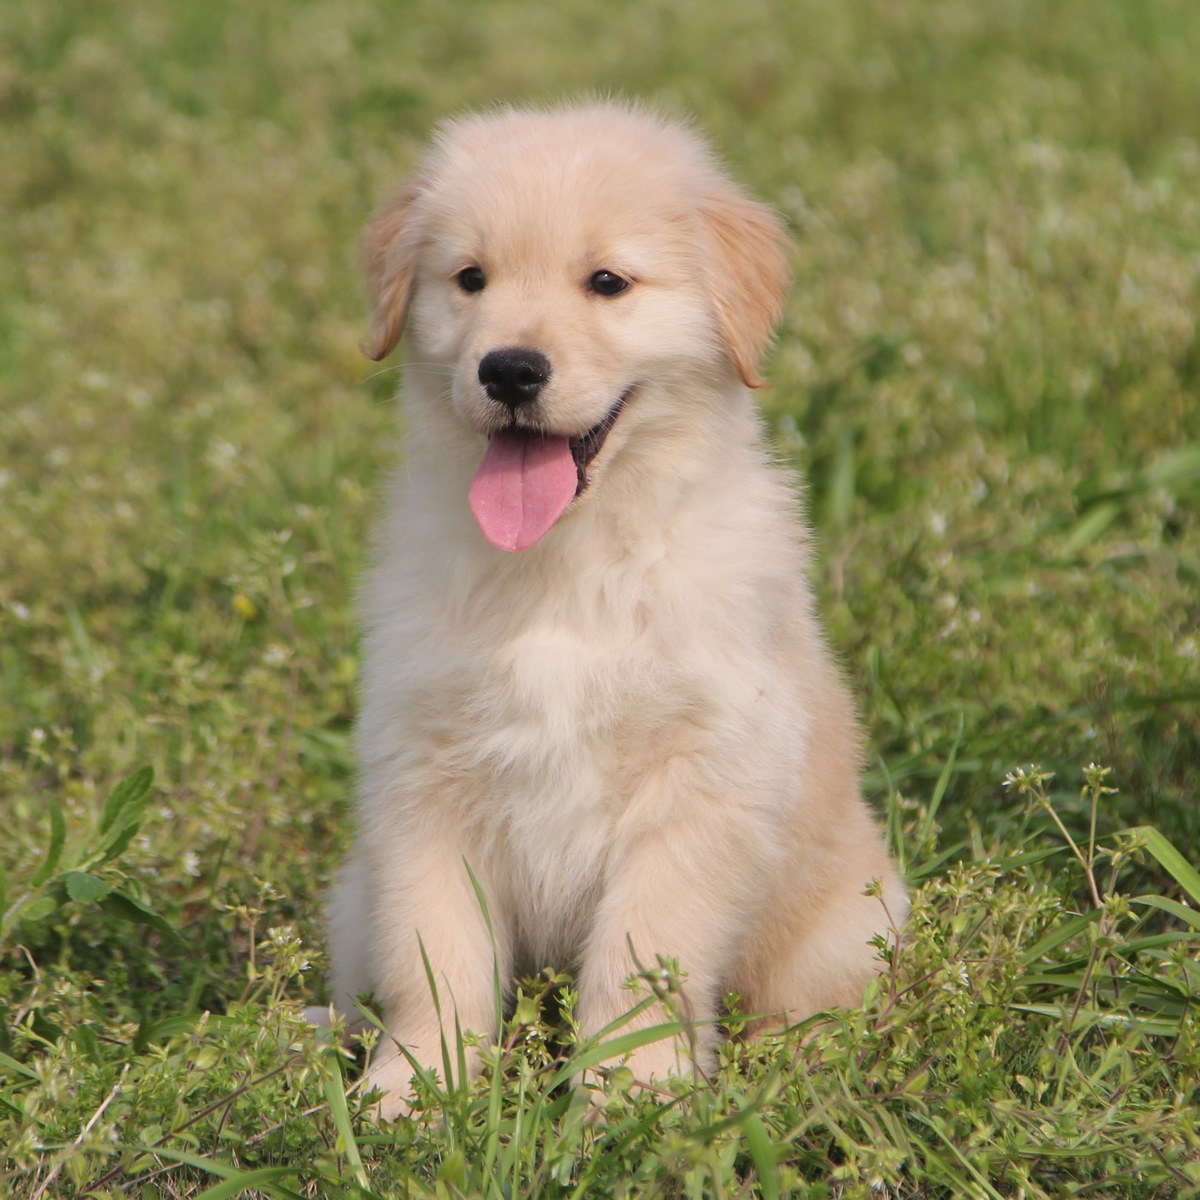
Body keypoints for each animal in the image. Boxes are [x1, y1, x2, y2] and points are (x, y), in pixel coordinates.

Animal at [314, 100, 902, 1113]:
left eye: (607, 283)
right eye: (470, 279)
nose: (510, 371)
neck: (570, 557)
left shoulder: (701, 779)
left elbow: (640, 957)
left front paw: (631, 1096)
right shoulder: (421, 777)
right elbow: (435, 954)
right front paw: (416, 1091)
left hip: (853, 921)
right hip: (350, 898)